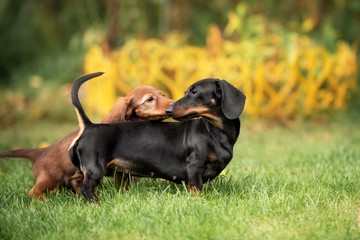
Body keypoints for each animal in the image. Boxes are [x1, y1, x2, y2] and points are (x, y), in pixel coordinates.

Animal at [0, 85, 173, 200]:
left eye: (163, 94)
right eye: (149, 99)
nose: (173, 104)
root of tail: (41, 152)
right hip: (49, 179)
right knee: (34, 193)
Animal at [69, 72, 246, 202]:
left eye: (195, 92)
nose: (169, 110)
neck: (214, 131)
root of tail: (89, 126)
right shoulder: (194, 166)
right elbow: (196, 189)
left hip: (84, 169)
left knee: (75, 182)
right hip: (95, 168)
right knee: (87, 188)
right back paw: (97, 204)